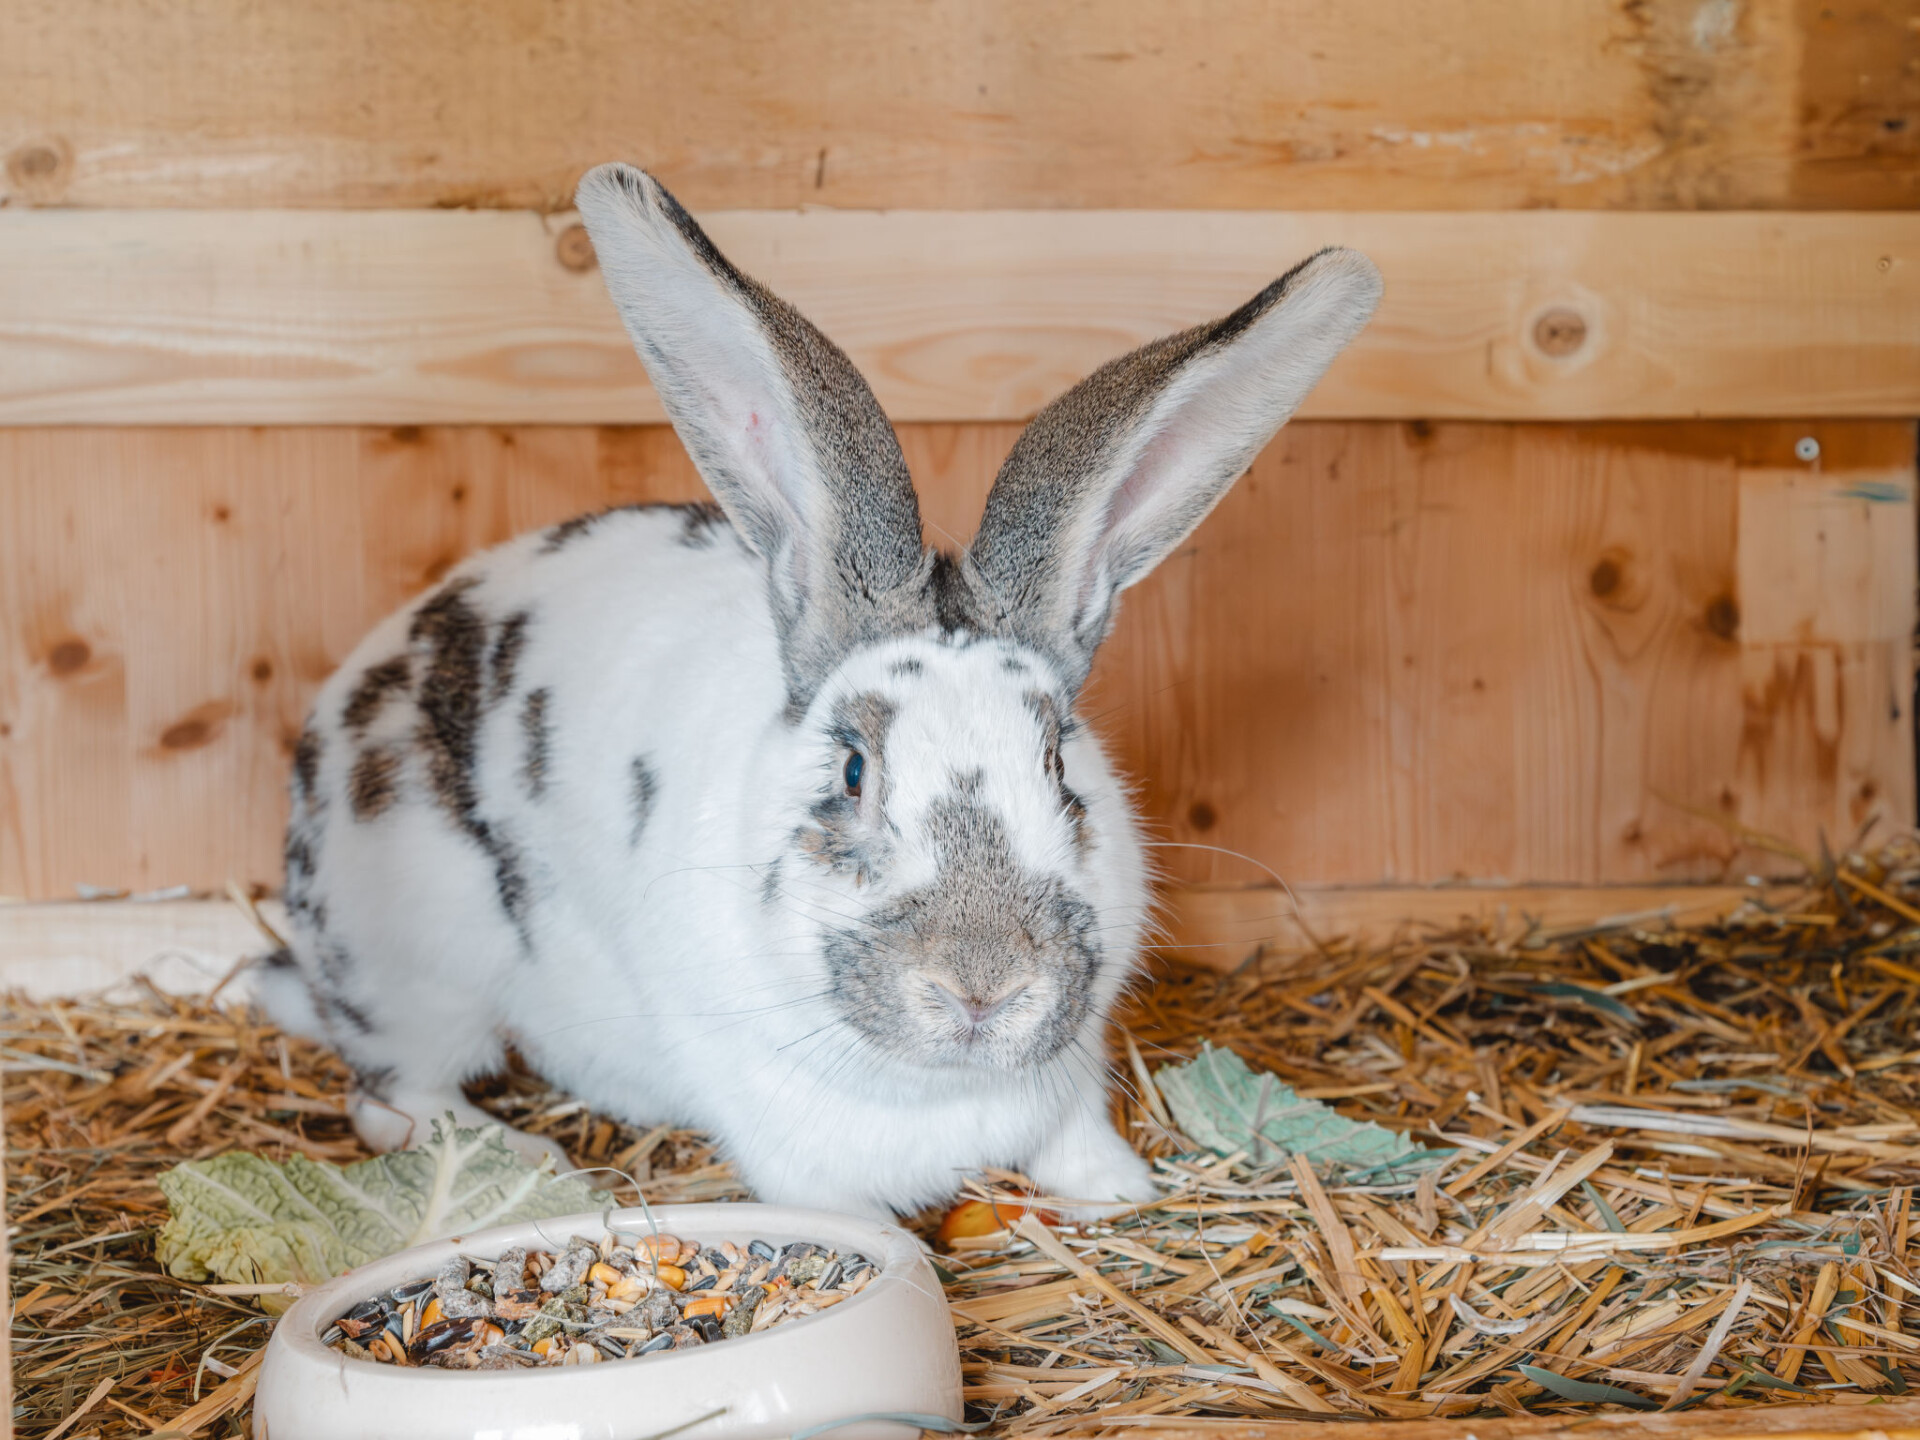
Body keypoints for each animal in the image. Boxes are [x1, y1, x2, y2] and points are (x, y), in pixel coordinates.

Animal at [258, 162, 1381, 1224]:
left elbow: (1077, 1142)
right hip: (418, 979)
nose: (982, 987)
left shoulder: (1070, 1080)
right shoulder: (780, 1127)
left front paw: (1118, 1191)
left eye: (1060, 764)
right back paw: (523, 1155)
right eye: (851, 771)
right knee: (392, 1094)